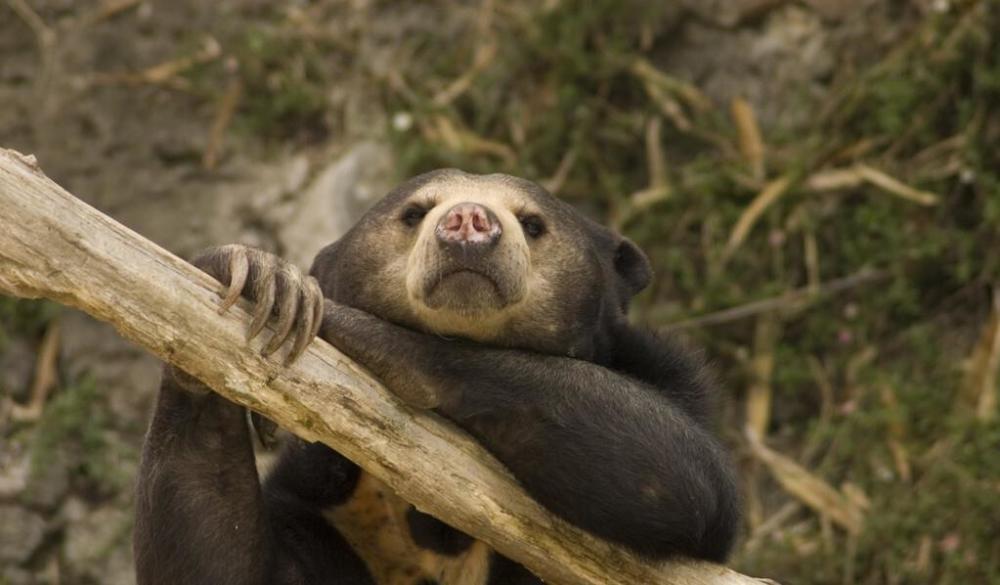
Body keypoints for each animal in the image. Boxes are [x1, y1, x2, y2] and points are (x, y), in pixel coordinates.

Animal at [133, 168, 740, 584]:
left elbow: (681, 472)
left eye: (533, 224)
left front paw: (346, 323)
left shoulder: (666, 376)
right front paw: (263, 277)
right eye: (414, 212)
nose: (469, 221)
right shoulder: (320, 510)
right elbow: (214, 564)